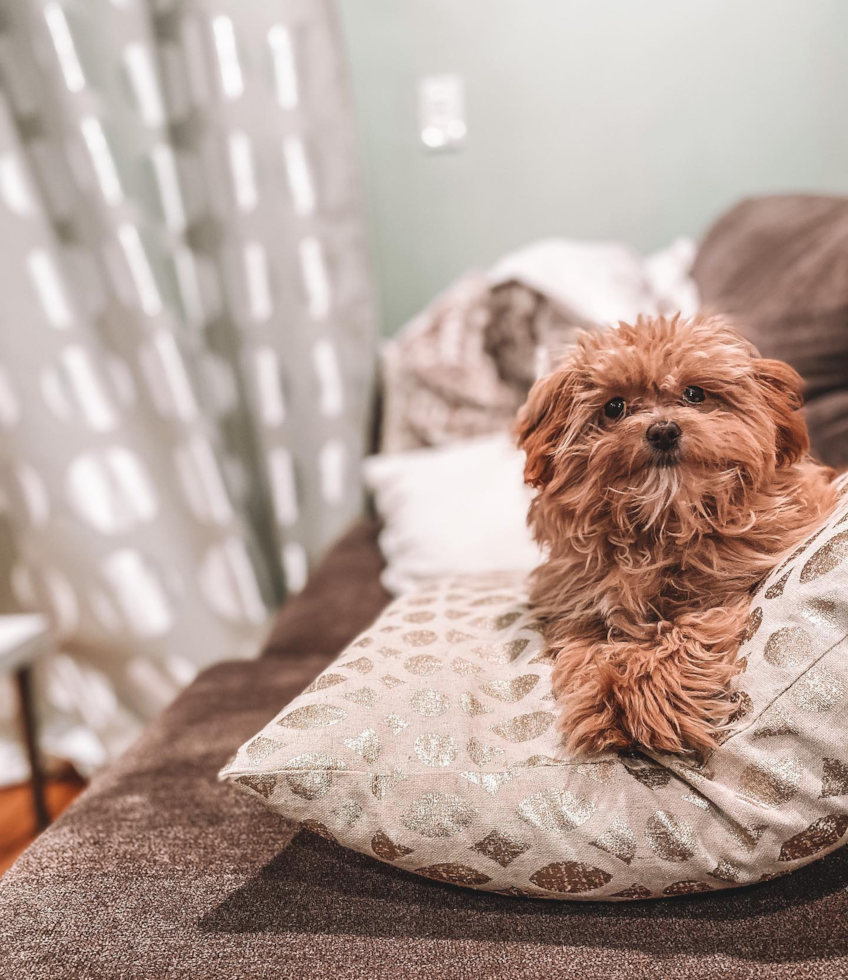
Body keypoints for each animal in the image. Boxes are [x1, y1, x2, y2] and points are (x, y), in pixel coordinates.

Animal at [516, 314, 836, 756]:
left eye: (694, 393)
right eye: (614, 407)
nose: (663, 431)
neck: (664, 521)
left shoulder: (729, 589)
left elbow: (687, 629)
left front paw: (644, 698)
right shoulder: (577, 606)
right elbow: (587, 646)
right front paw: (606, 698)